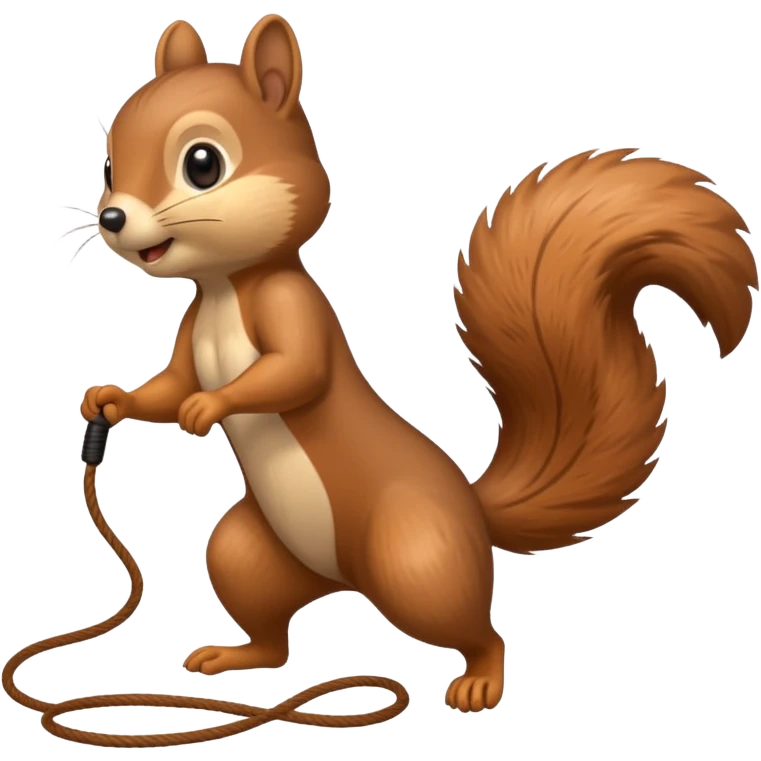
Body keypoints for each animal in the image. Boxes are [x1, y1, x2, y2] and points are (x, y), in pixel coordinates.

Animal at [45, 14, 761, 729]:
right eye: (109, 162)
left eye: (202, 163)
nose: (111, 217)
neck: (227, 285)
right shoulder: (193, 328)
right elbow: (168, 387)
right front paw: (109, 401)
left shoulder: (293, 309)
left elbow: (295, 373)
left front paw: (211, 407)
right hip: (250, 551)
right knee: (272, 633)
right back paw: (234, 655)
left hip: (415, 560)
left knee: (479, 631)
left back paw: (480, 683)